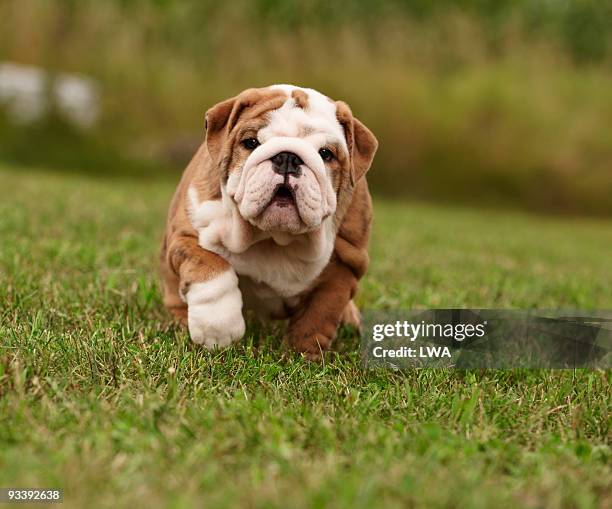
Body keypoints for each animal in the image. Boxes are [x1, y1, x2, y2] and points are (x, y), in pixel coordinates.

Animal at [160, 84, 376, 358]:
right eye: (251, 142)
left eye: (326, 153)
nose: (288, 158)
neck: (274, 238)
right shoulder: (186, 235)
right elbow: (210, 266)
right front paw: (217, 328)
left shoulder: (346, 264)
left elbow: (319, 313)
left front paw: (301, 355)